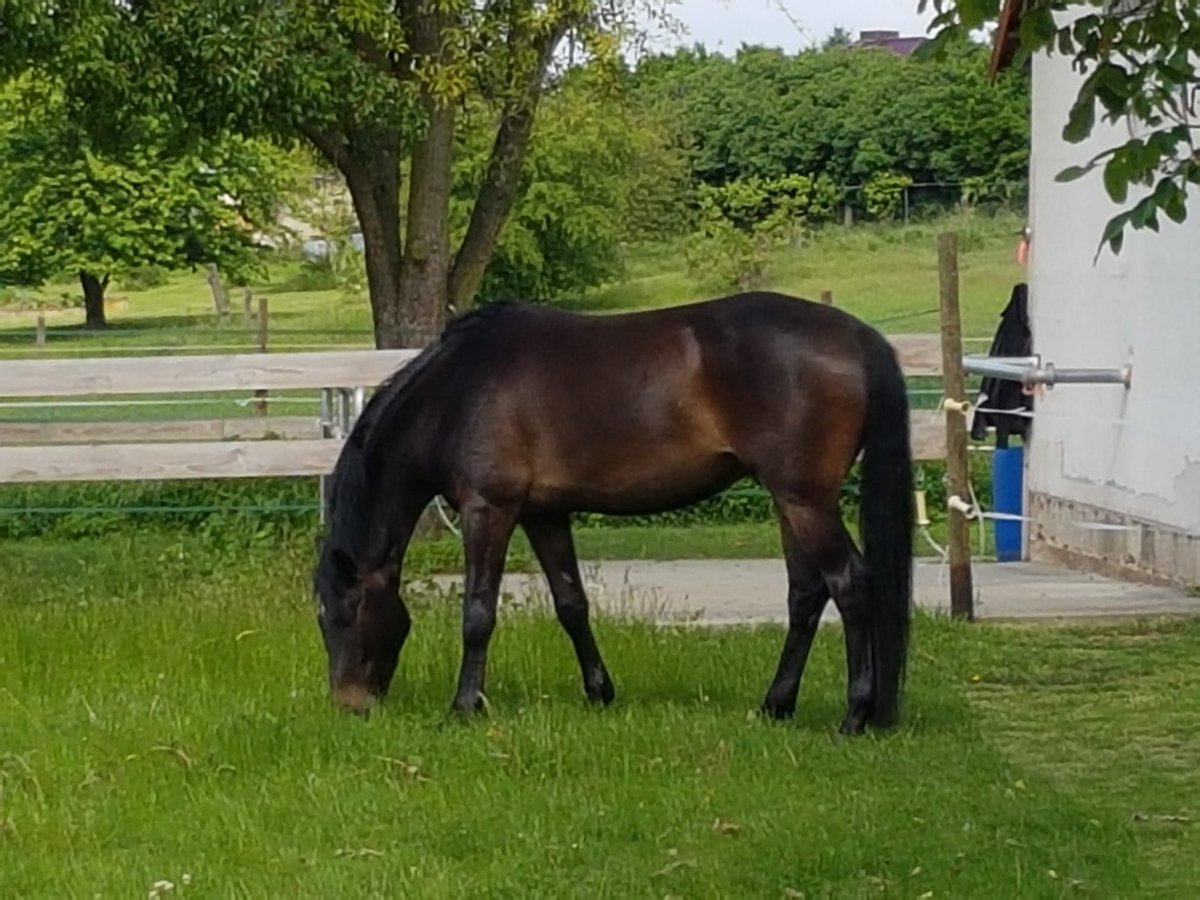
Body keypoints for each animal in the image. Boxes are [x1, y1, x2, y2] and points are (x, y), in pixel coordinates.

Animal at [312, 291, 914, 735]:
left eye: (340, 612)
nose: (348, 703)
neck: (458, 390)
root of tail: (855, 336)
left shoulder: (490, 510)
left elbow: (478, 613)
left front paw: (464, 707)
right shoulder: (544, 514)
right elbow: (571, 605)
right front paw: (599, 692)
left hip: (805, 500)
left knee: (851, 583)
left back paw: (855, 715)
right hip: (792, 502)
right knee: (806, 595)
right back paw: (775, 705)